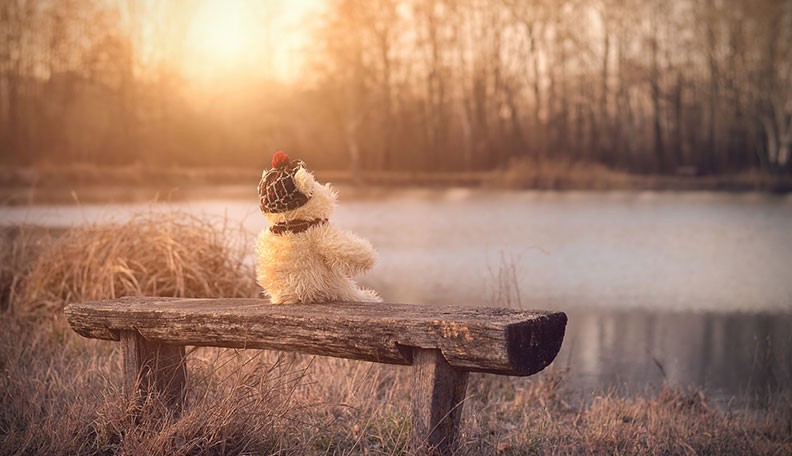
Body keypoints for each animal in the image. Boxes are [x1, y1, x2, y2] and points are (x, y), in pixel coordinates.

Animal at [255, 151, 382, 304]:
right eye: (315, 185)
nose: (329, 190)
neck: (289, 224)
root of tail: (300, 296)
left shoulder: (267, 240)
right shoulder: (318, 230)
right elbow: (344, 248)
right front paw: (369, 255)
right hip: (338, 287)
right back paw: (370, 297)